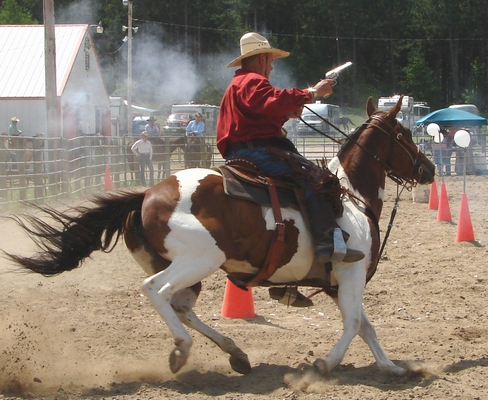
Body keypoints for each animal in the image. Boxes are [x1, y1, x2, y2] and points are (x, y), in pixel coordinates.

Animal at [1, 95, 432, 376]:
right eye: (405, 134)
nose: (428, 169)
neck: (350, 196)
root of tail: (147, 194)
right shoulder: (350, 273)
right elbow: (354, 323)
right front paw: (326, 363)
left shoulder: (334, 282)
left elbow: (365, 325)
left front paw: (392, 367)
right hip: (199, 260)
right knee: (156, 291)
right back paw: (182, 351)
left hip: (180, 266)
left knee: (180, 306)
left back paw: (235, 353)